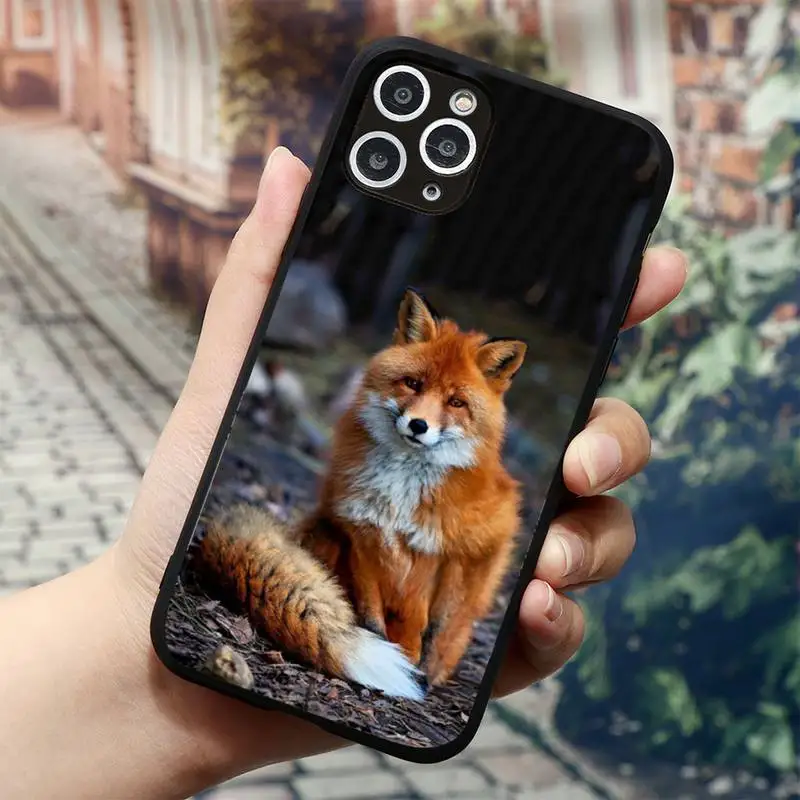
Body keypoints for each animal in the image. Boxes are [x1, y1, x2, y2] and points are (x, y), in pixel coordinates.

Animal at [193, 288, 526, 699]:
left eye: (456, 402)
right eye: (413, 384)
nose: (419, 425)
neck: (402, 494)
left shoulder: (457, 551)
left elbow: (431, 624)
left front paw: (421, 671)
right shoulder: (359, 533)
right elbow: (371, 616)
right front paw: (395, 661)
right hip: (323, 531)